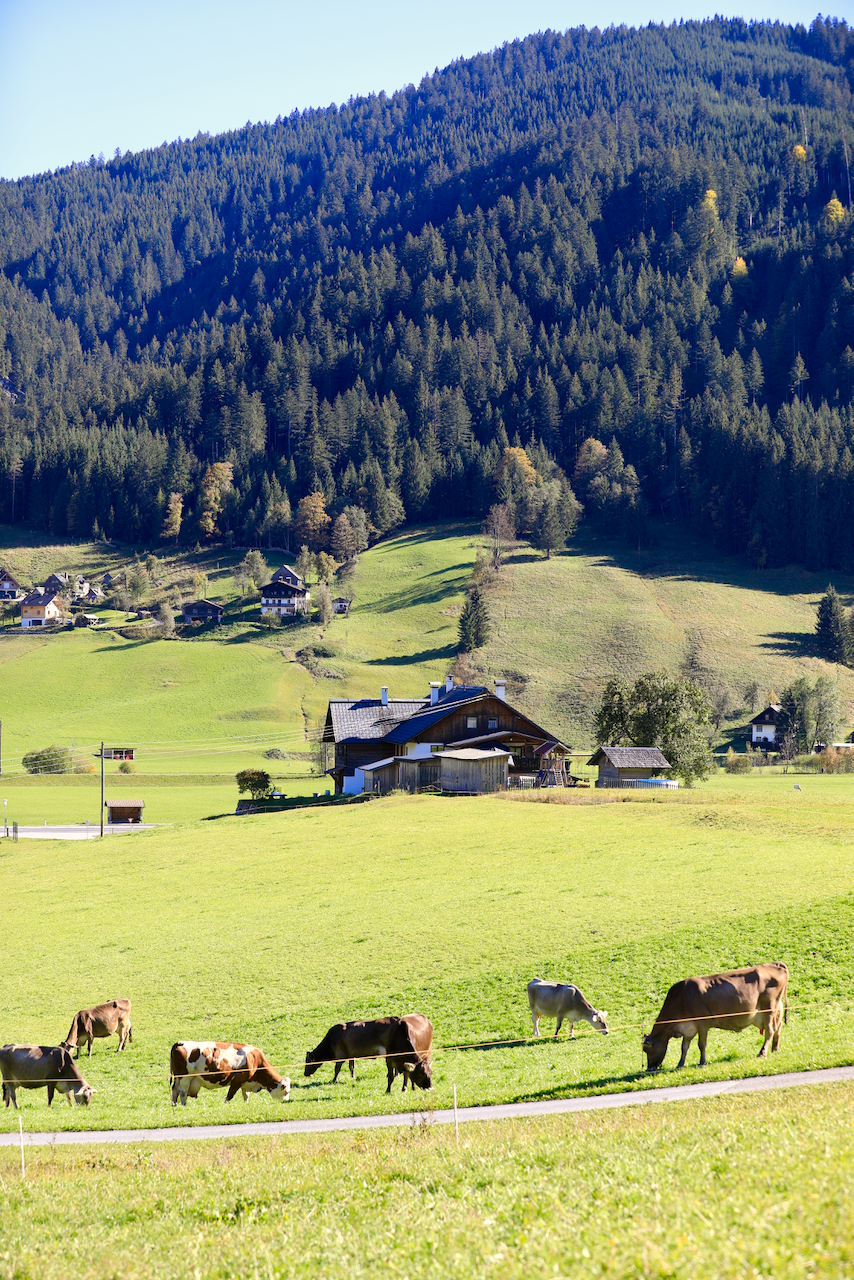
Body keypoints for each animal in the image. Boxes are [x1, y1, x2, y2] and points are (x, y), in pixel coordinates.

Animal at [303, 1013, 435, 1095]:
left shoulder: (340, 1054)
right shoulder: (351, 1055)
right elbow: (352, 1067)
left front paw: (334, 1080)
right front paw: (352, 1077)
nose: (305, 1074)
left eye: (307, 1062)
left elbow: (337, 1068)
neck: (331, 1039)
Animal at [645, 962, 793, 1070]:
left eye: (646, 1049)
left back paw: (762, 1052)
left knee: (770, 1030)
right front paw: (680, 1065)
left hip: (769, 1007)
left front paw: (702, 1062)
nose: (649, 1068)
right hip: (770, 1010)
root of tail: (774, 964)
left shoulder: (702, 1023)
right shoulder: (688, 1028)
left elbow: (701, 1044)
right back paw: (775, 1049)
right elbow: (684, 1047)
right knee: (777, 1027)